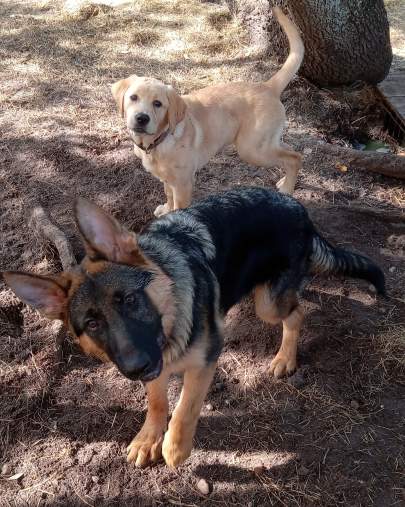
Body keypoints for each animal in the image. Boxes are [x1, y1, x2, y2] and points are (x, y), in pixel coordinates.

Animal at [1, 190, 384, 468]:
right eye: (92, 323)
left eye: (128, 299)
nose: (135, 367)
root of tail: (297, 206)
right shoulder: (156, 363)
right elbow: (157, 401)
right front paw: (149, 437)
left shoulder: (204, 362)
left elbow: (185, 408)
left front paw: (175, 447)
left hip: (268, 305)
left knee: (297, 313)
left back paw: (285, 358)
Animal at [112, 6, 302, 216]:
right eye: (133, 97)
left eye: (158, 104)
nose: (141, 118)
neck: (159, 141)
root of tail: (268, 86)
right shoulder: (169, 180)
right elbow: (168, 194)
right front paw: (166, 209)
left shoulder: (183, 184)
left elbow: (178, 206)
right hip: (265, 143)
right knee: (291, 152)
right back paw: (285, 181)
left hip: (252, 149)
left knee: (294, 158)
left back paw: (287, 189)